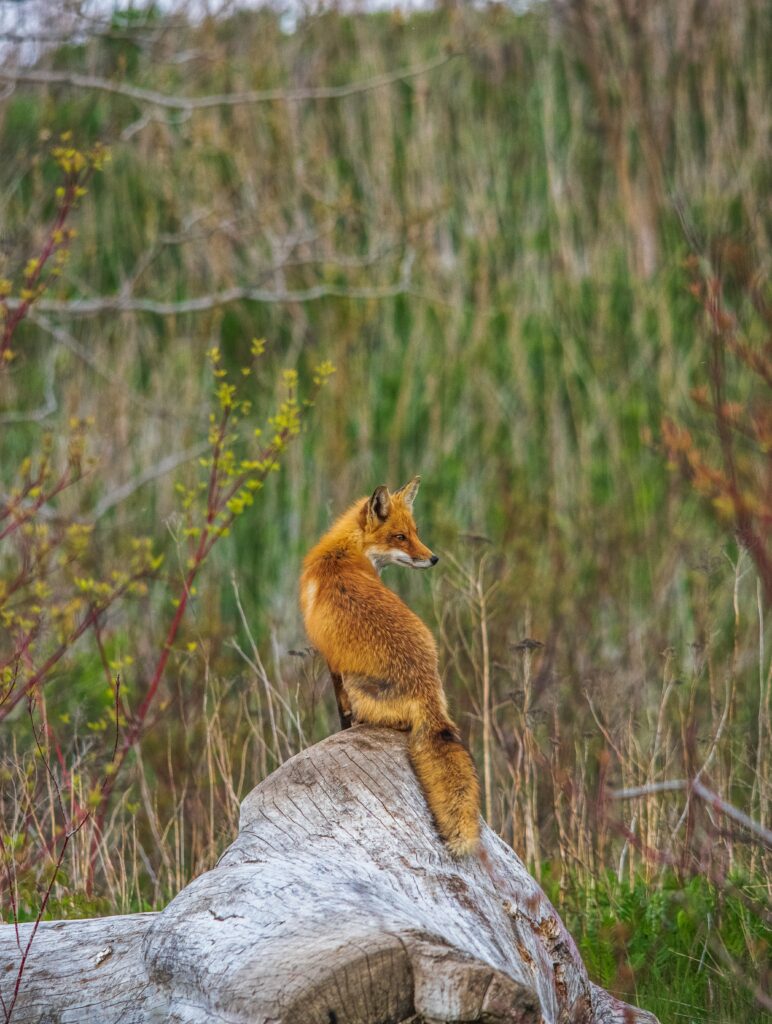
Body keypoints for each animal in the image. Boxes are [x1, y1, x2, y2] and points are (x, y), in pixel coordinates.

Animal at [300, 476, 481, 857]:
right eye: (401, 536)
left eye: (415, 532)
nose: (433, 558)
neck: (343, 554)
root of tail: (426, 690)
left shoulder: (333, 664)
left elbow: (341, 713)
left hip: (358, 685)